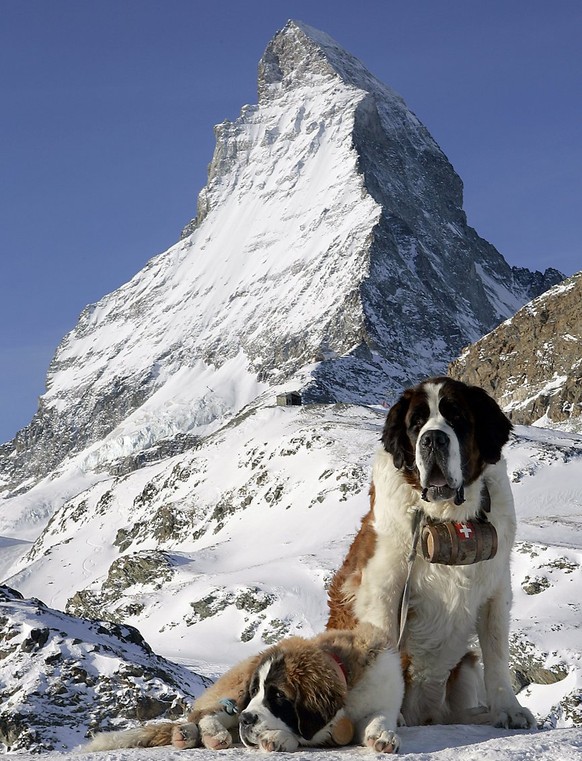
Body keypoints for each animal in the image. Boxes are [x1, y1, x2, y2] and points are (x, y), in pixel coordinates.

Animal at [84, 624, 406, 756]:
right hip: (233, 694)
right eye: (257, 692)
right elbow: (304, 734)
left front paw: (383, 735)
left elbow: (381, 717)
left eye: (278, 696)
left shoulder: (384, 694)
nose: (246, 720)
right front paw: (278, 739)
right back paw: (200, 734)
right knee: (204, 714)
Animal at [328, 378, 540, 728]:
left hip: (463, 669)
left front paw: (509, 710)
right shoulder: (383, 588)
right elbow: (385, 648)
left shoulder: (496, 587)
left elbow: (496, 653)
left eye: (457, 418)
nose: (433, 438)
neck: (446, 516)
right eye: (416, 424)